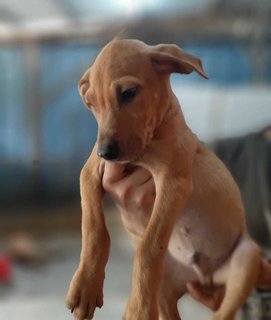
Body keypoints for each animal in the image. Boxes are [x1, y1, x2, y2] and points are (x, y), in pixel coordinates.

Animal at [66, 40, 266, 320]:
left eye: (128, 93)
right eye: (92, 103)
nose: (106, 152)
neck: (149, 144)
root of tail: (204, 277)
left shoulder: (173, 184)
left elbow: (148, 248)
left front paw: (138, 309)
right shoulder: (89, 172)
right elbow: (93, 227)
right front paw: (86, 285)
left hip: (246, 258)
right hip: (165, 290)